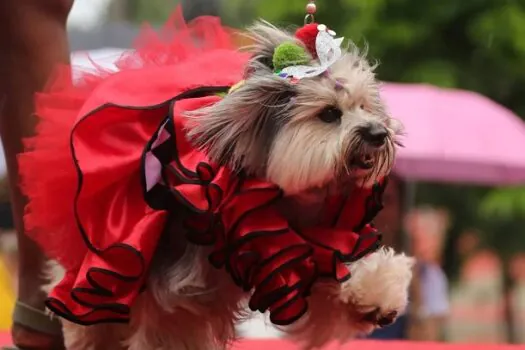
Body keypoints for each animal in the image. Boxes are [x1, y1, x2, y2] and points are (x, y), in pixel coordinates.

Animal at [41, 21, 414, 350]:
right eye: (329, 114)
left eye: (364, 106)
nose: (379, 133)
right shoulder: (177, 288)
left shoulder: (305, 244)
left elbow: (337, 269)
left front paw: (376, 297)